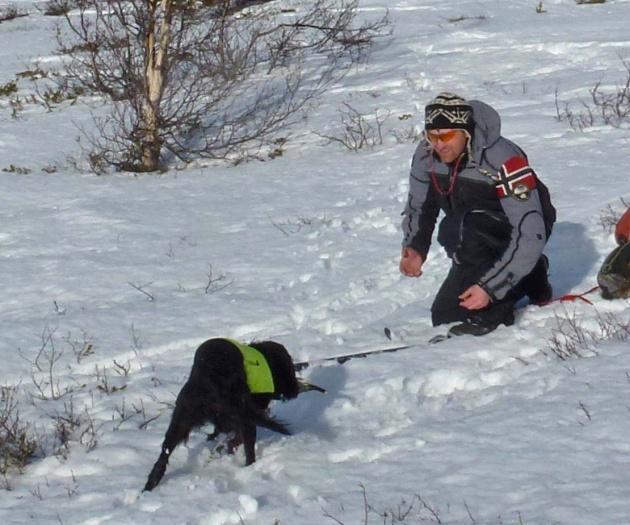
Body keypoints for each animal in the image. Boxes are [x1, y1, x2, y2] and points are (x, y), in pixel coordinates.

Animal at [141, 338, 324, 490]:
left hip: (181, 418)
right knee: (249, 454)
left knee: (163, 456)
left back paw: (149, 487)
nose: (294, 389)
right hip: (242, 418)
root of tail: (210, 381)